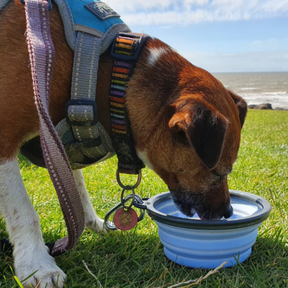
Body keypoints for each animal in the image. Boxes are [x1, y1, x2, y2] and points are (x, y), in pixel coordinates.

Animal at [0, 1, 248, 286]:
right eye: (219, 173)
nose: (229, 211)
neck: (104, 75)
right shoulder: (5, 141)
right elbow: (24, 213)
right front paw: (37, 266)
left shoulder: (58, 145)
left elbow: (77, 193)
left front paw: (93, 224)